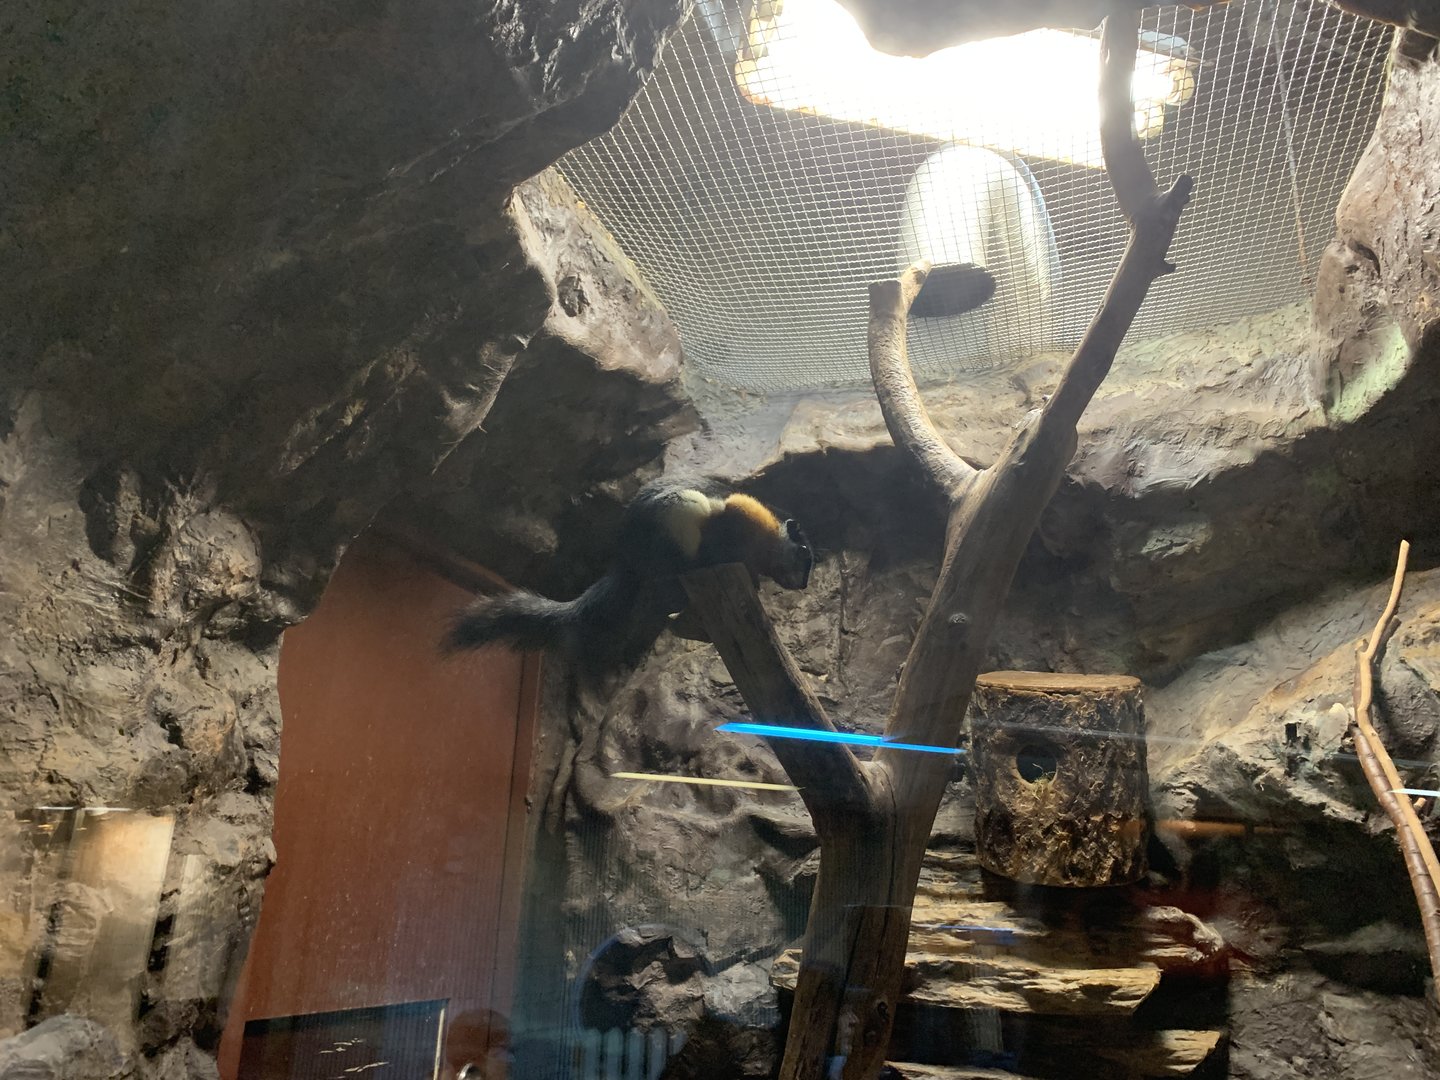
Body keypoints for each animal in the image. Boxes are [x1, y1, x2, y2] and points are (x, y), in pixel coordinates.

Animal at [443, 481, 813, 672]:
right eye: (805, 555)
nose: (805, 583)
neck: (767, 543)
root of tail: (627, 559)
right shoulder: (739, 512)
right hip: (682, 517)